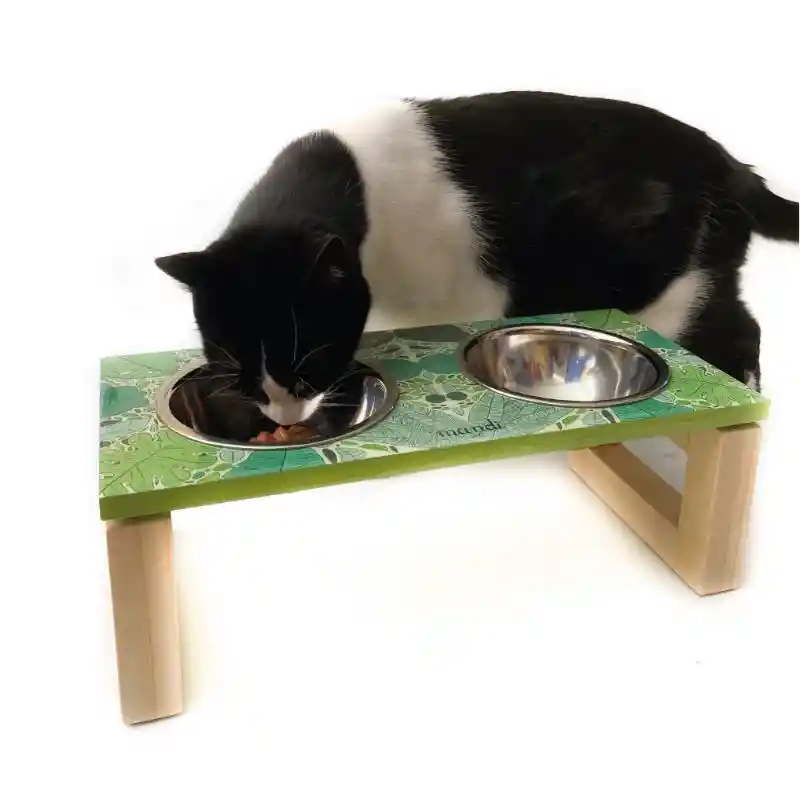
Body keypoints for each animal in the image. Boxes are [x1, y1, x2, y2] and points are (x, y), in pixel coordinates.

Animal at [155, 91, 798, 434]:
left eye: (308, 365)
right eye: (237, 373)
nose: (286, 411)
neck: (352, 184)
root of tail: (730, 165)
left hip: (667, 290)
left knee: (735, 333)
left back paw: (742, 398)